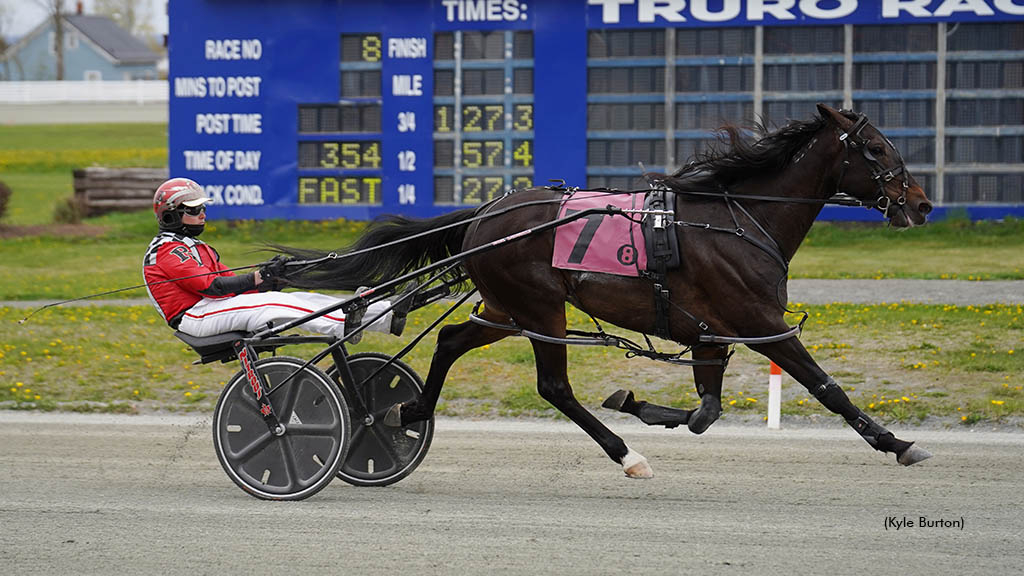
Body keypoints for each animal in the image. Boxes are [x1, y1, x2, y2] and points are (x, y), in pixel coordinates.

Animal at [276, 103, 933, 475]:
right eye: (877, 148)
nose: (922, 205)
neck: (739, 218)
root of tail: (485, 213)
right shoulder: (761, 323)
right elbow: (828, 389)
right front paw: (897, 442)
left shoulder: (711, 332)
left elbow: (707, 410)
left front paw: (639, 403)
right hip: (539, 308)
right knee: (553, 386)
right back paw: (626, 455)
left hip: (507, 310)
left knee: (452, 340)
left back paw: (405, 409)